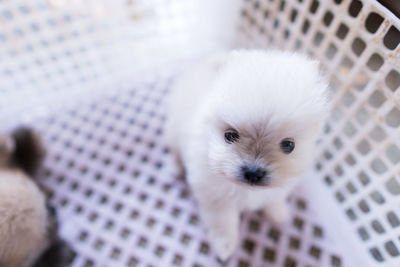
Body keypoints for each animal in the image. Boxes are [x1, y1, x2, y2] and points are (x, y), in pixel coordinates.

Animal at [165, 49, 328, 260]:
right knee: (175, 150)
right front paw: (225, 246)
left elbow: (274, 197)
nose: (253, 172)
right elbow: (223, 222)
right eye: (230, 135)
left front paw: (278, 213)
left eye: (289, 145)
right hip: (173, 129)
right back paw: (174, 168)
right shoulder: (215, 195)